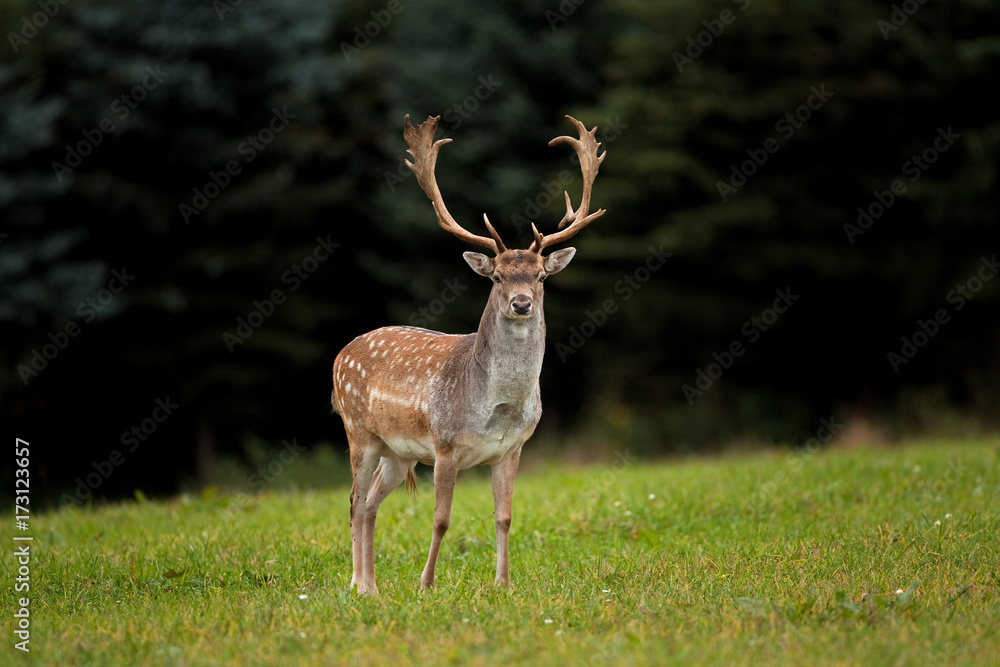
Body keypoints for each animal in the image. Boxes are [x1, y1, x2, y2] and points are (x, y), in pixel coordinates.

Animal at [330, 114, 605, 594]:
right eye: (496, 277)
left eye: (540, 276)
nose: (521, 303)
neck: (496, 408)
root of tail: (338, 356)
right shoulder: (444, 445)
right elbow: (440, 520)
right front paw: (426, 584)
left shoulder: (512, 449)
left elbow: (505, 517)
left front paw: (503, 583)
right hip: (358, 431)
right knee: (354, 499)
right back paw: (359, 585)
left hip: (397, 452)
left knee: (369, 504)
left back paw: (372, 588)